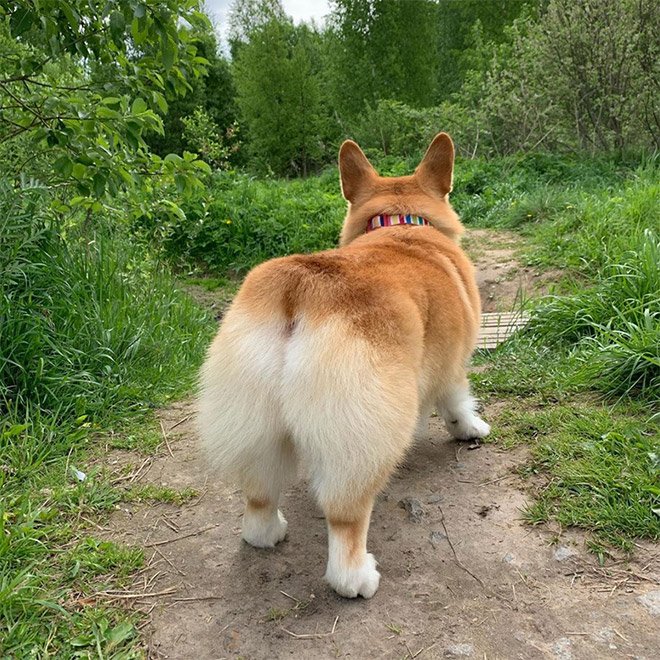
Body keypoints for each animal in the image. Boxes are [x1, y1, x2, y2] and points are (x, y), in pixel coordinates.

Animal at [196, 134, 490, 600]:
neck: (400, 224)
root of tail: (300, 286)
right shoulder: (453, 366)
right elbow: (458, 404)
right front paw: (472, 430)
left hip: (253, 423)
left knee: (259, 496)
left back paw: (269, 532)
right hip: (364, 440)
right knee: (346, 521)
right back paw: (358, 578)